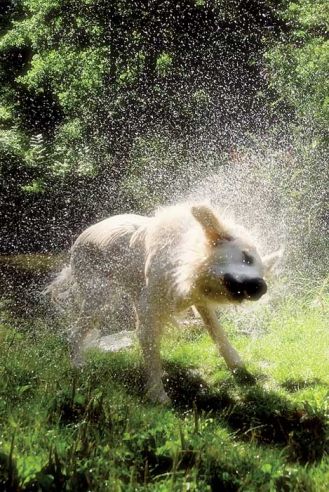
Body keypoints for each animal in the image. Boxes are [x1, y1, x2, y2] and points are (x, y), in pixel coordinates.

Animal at [47, 204, 280, 404]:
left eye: (262, 271)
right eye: (246, 257)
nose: (262, 287)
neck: (186, 260)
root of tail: (82, 236)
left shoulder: (198, 301)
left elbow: (218, 333)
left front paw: (240, 370)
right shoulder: (150, 307)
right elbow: (152, 352)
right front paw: (158, 395)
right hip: (101, 298)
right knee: (74, 333)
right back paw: (78, 366)